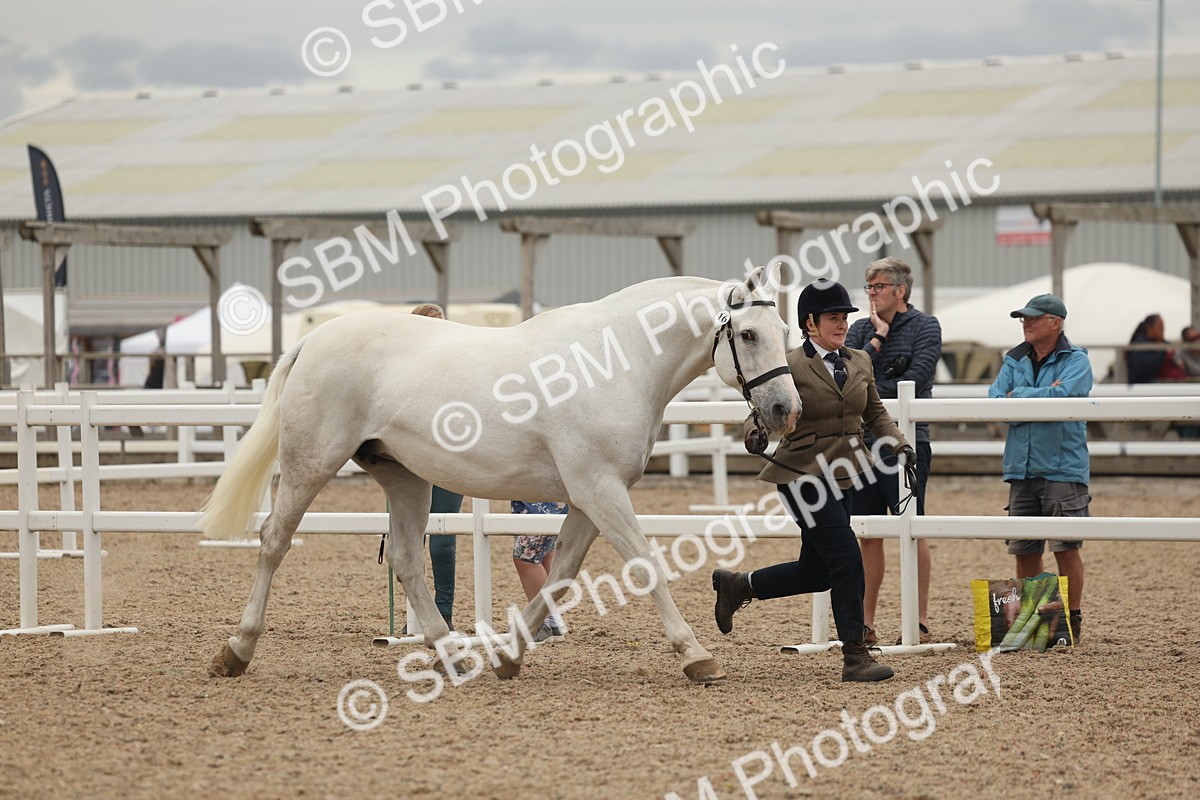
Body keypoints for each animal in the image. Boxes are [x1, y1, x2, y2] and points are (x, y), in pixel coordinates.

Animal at [200, 265, 801, 684]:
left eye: (784, 329)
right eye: (749, 335)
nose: (783, 411)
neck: (616, 363)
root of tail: (312, 341)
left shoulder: (589, 496)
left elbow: (561, 573)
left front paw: (509, 657)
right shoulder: (600, 490)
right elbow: (645, 565)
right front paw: (697, 655)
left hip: (405, 478)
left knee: (406, 560)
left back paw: (452, 655)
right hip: (311, 464)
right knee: (274, 540)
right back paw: (235, 651)